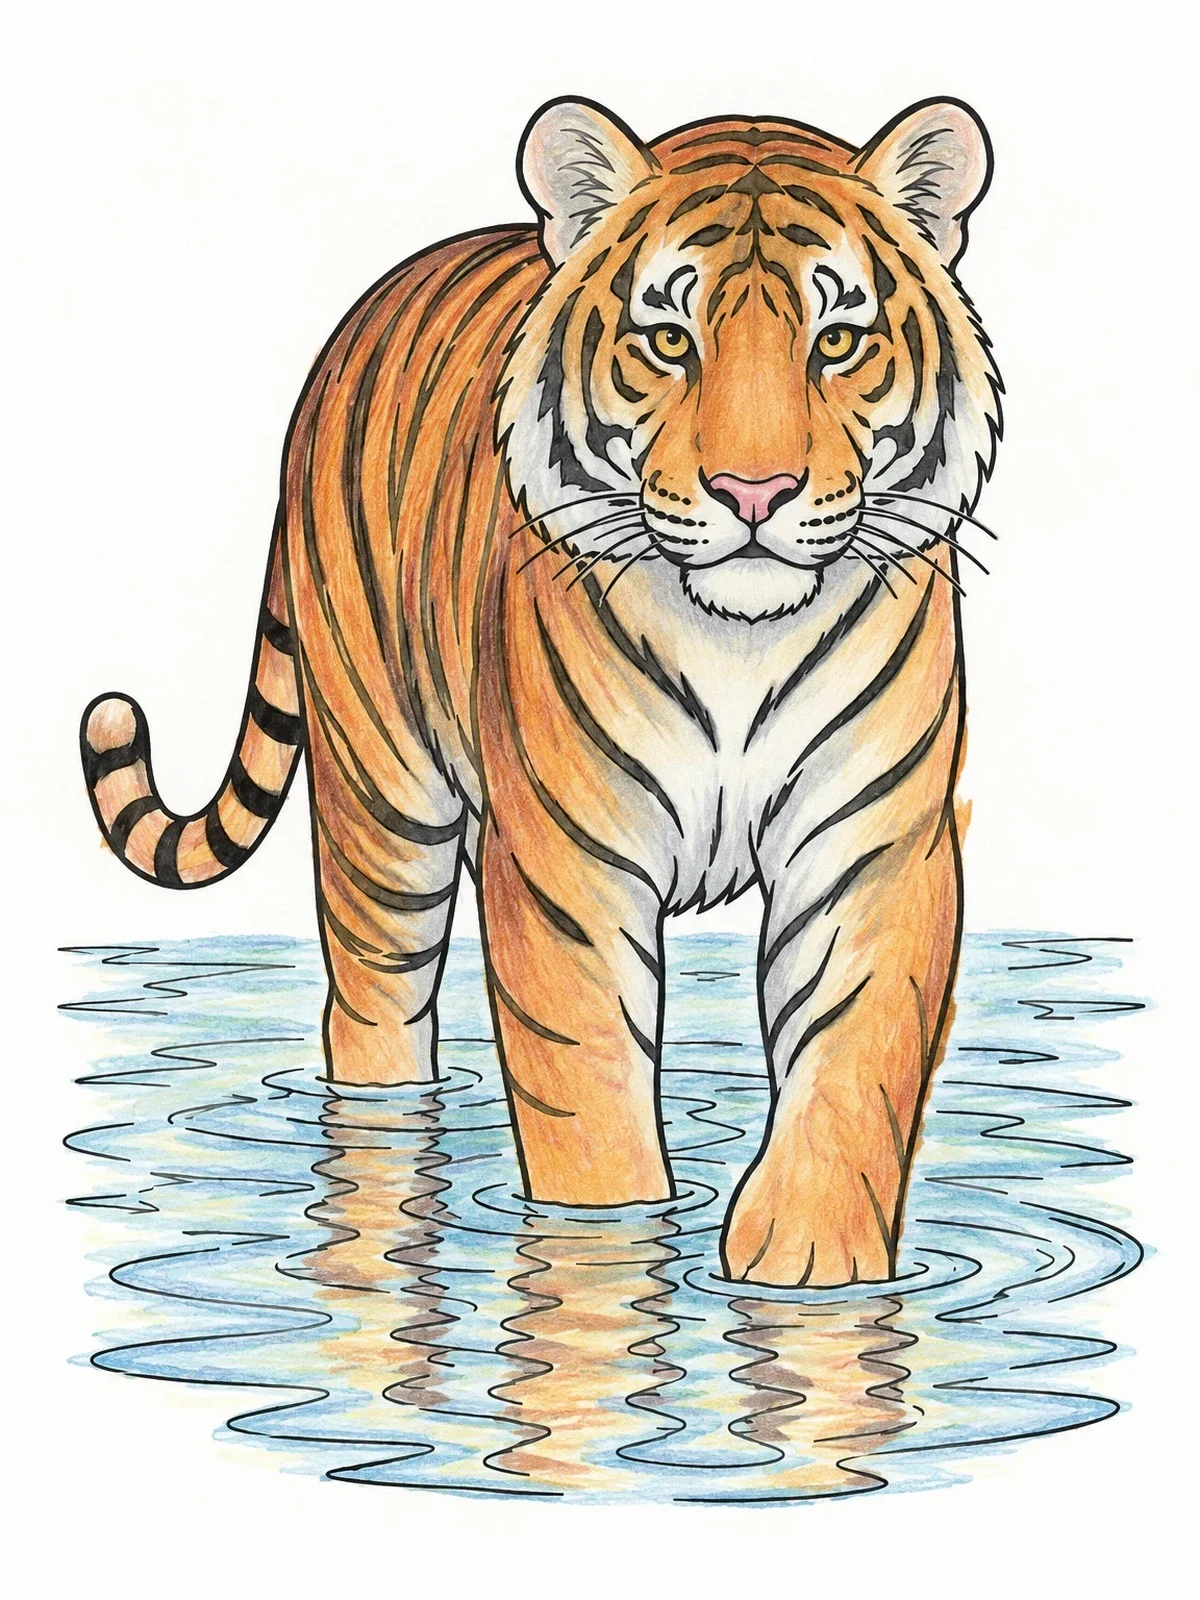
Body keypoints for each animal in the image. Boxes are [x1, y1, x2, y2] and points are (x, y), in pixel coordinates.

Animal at [80, 95, 1001, 1288]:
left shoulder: (874, 845)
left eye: (836, 340)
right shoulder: (569, 864)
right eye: (669, 340)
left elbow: (851, 1058)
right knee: (371, 1008)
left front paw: (813, 1270)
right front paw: (605, 1265)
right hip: (383, 807)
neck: (739, 641)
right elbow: (588, 1081)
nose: (754, 492)